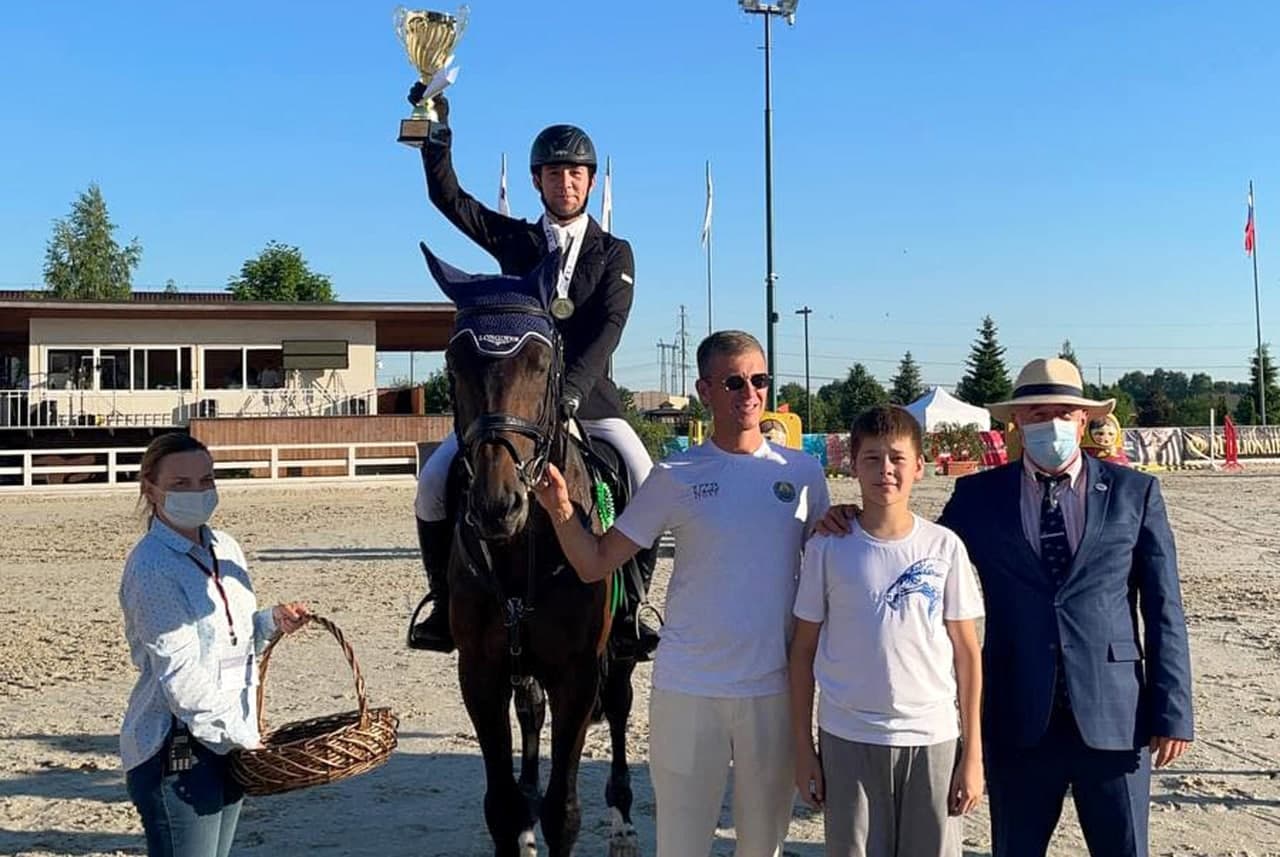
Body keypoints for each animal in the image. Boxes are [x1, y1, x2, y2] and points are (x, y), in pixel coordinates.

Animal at [422, 244, 642, 857]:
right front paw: (516, 822)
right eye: (454, 365)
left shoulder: (578, 674)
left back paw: (623, 821)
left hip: (618, 656)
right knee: (529, 714)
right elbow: (501, 806)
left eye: (542, 364)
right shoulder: (480, 672)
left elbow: (563, 810)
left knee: (620, 709)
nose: (499, 505)